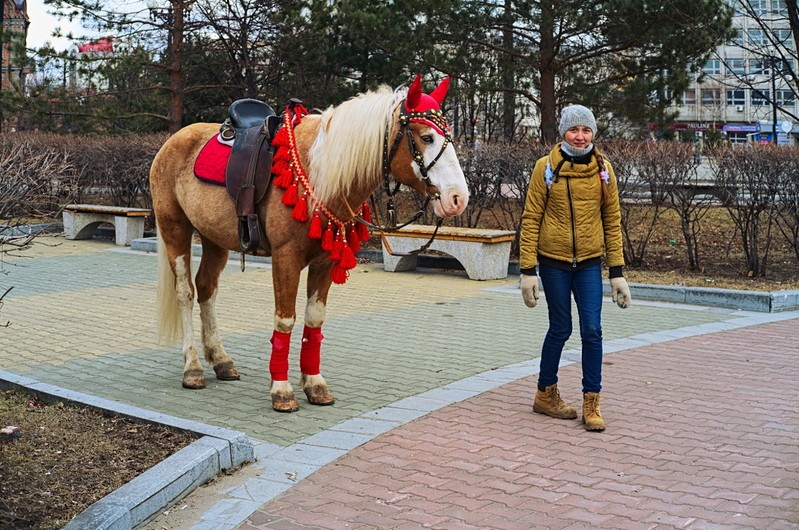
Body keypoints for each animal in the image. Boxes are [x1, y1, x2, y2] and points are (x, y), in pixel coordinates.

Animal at [152, 74, 468, 410]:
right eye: (427, 137)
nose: (458, 198)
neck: (321, 173)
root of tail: (173, 141)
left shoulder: (325, 262)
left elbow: (314, 320)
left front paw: (314, 384)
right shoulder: (285, 258)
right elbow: (285, 320)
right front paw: (281, 390)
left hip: (214, 240)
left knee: (207, 288)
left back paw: (221, 360)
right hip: (175, 231)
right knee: (186, 292)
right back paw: (193, 367)